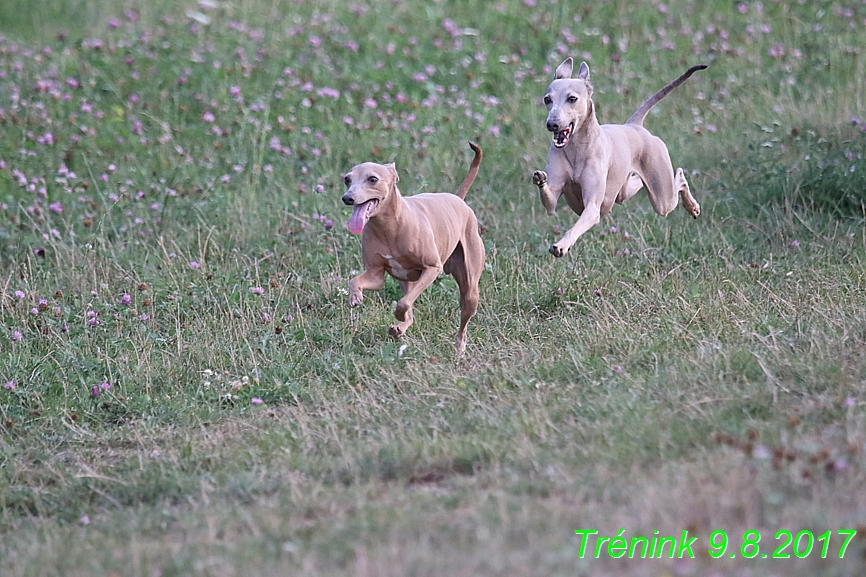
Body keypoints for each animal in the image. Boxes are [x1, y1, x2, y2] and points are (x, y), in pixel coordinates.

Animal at [340, 143, 482, 352]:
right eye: (347, 180)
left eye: (372, 179)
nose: (347, 198)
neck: (389, 228)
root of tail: (458, 199)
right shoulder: (375, 274)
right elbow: (355, 281)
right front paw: (355, 297)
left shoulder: (432, 268)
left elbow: (404, 303)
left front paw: (399, 313)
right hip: (407, 281)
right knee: (411, 314)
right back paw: (399, 329)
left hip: (470, 289)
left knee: (463, 320)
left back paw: (459, 347)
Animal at [528, 58, 704, 256]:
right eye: (547, 99)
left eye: (572, 99)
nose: (552, 124)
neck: (576, 149)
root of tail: (634, 125)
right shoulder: (553, 200)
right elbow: (550, 203)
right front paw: (539, 178)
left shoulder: (592, 208)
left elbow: (577, 225)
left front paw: (561, 245)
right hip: (623, 192)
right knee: (638, 182)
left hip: (662, 198)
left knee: (678, 178)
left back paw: (692, 206)